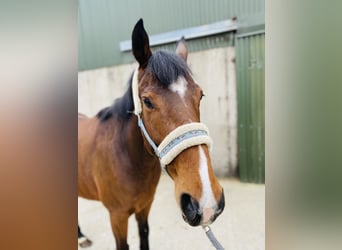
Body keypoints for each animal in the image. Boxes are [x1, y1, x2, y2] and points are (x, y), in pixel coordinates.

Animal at [79, 19, 226, 250]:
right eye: (147, 101)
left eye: (200, 95)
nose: (206, 202)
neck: (125, 158)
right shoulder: (117, 216)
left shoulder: (144, 207)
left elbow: (145, 236)